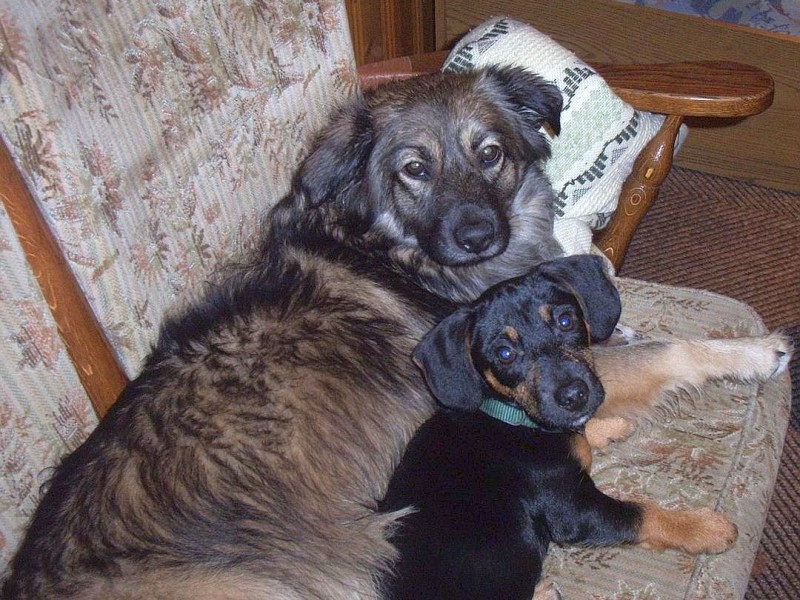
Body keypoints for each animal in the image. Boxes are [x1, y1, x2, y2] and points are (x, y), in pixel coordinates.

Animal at [380, 254, 736, 600]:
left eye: (565, 321)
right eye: (504, 353)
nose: (575, 396)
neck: (510, 419)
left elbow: (582, 436)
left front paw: (608, 427)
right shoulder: (576, 512)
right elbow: (642, 512)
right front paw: (705, 527)